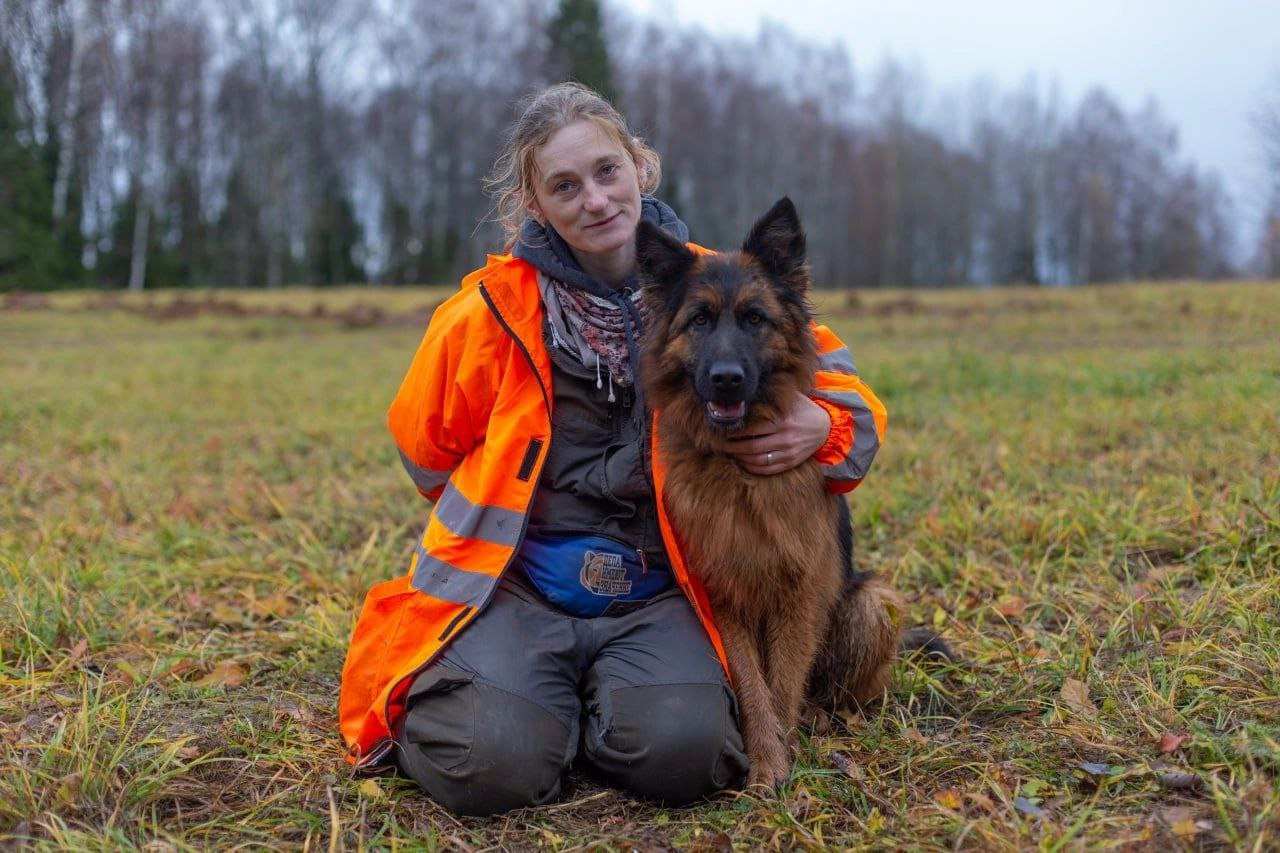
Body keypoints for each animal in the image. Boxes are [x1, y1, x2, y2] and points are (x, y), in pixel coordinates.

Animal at [637, 195, 901, 788]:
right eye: (700, 320)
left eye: (755, 319)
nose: (726, 378)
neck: (740, 474)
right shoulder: (723, 597)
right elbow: (753, 686)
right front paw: (764, 765)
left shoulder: (800, 592)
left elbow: (782, 683)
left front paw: (780, 761)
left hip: (872, 603)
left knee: (832, 693)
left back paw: (818, 719)